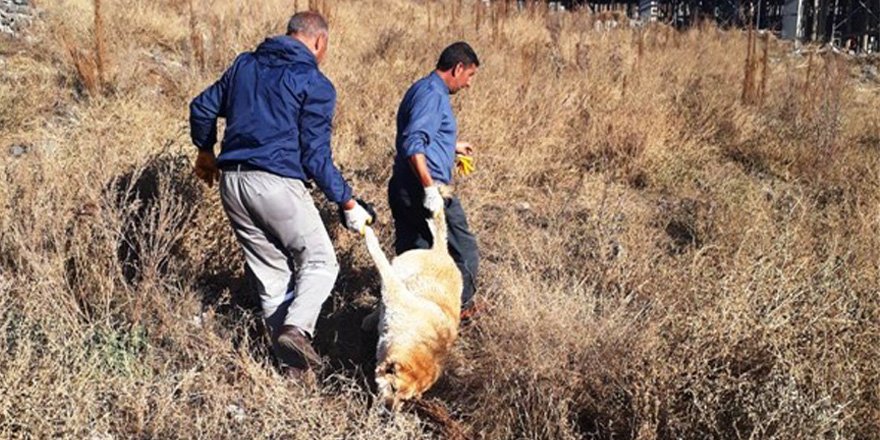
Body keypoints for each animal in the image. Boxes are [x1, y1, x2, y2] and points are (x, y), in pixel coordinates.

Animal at [360, 205, 464, 410]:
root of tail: (441, 251)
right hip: (399, 268)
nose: (390, 411)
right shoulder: (394, 289)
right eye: (393, 388)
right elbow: (377, 254)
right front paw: (368, 233)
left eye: (405, 399)